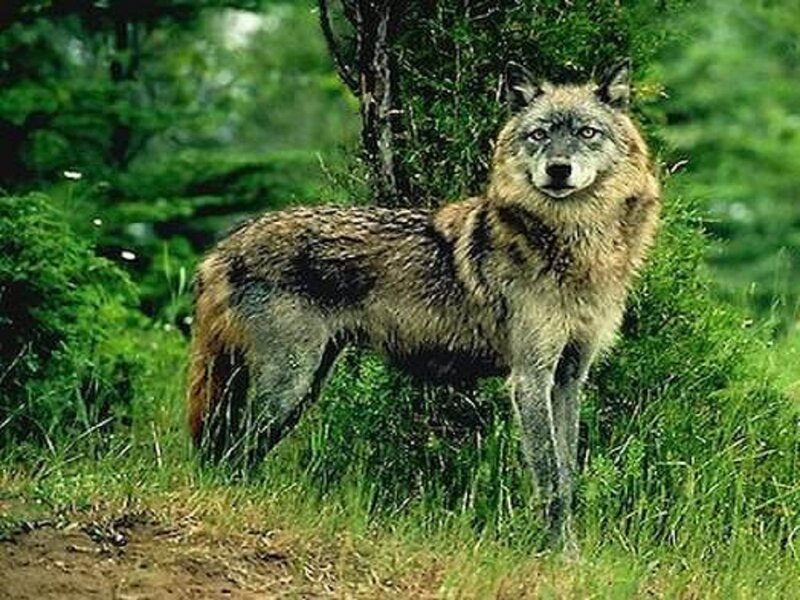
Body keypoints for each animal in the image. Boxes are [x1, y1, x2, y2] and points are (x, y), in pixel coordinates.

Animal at [186, 60, 661, 547]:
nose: (558, 169)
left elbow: (566, 475)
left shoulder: (567, 378)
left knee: (237, 449)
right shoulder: (529, 379)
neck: (574, 243)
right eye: (540, 134)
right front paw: (557, 554)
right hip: (289, 384)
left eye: (587, 132)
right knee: (235, 449)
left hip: (300, 386)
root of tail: (221, 249)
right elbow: (549, 478)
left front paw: (569, 553)